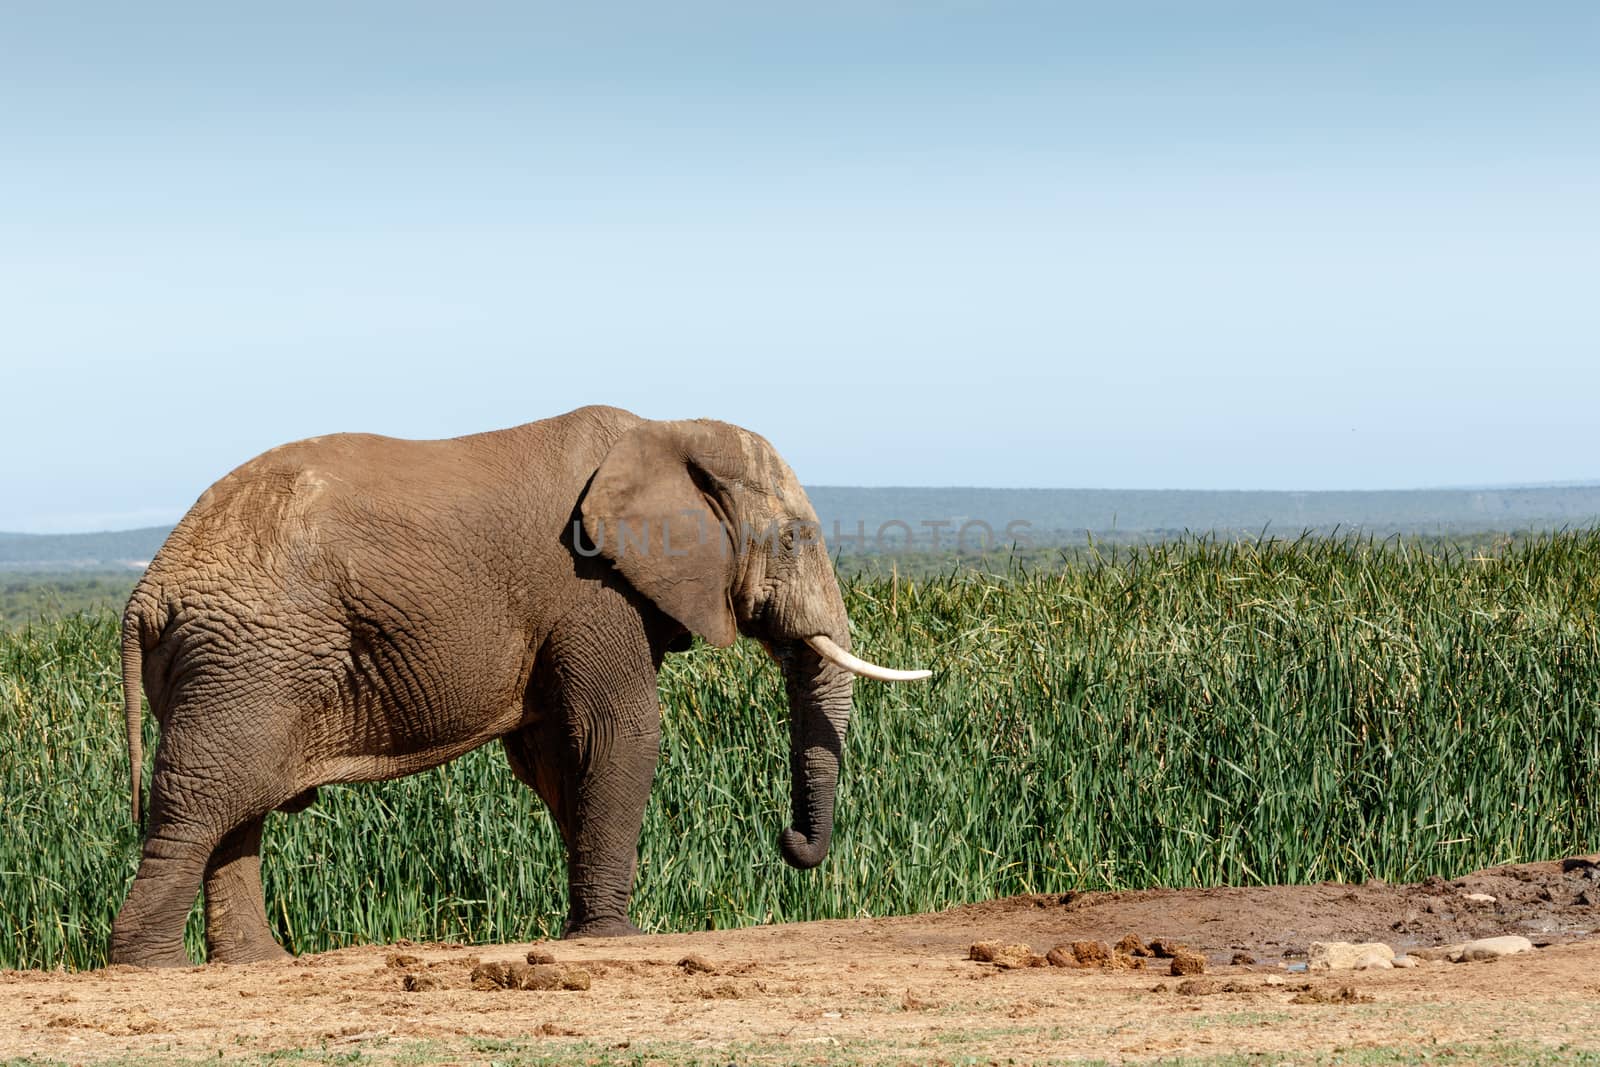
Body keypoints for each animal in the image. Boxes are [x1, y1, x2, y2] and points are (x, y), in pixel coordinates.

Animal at [109, 406, 928, 966]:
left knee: (241, 804)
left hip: (241, 663)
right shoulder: (590, 585)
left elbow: (555, 757)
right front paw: (616, 935)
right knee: (206, 797)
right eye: (793, 539)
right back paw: (153, 967)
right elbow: (623, 731)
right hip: (247, 656)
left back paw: (258, 963)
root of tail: (147, 590)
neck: (666, 431)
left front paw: (584, 927)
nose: (788, 840)